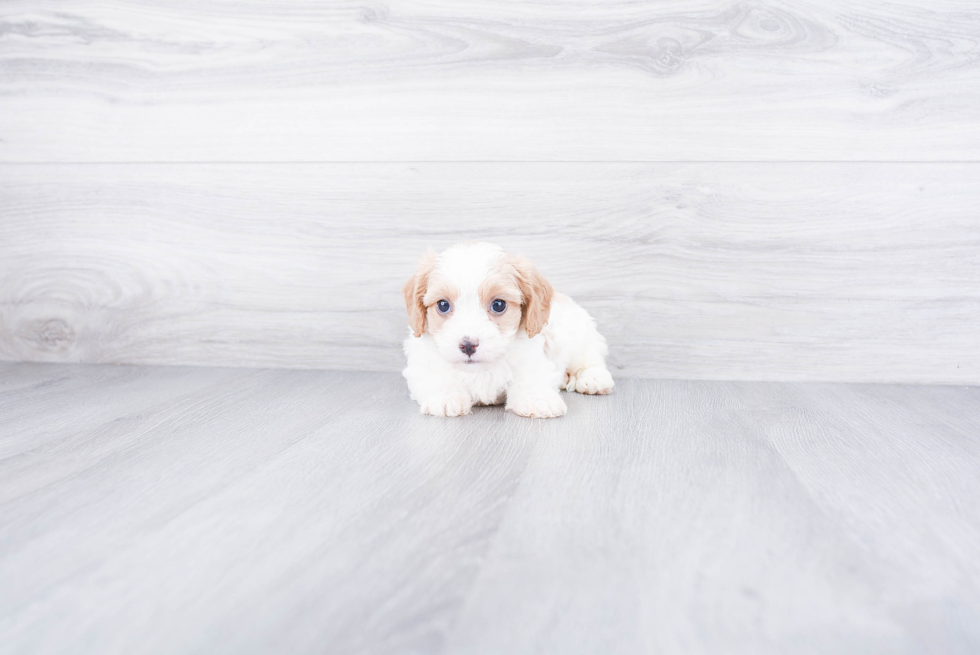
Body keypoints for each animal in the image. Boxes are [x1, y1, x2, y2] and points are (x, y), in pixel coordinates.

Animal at [398, 242, 612, 420]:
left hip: (580, 334)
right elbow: (436, 374)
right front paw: (446, 397)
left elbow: (531, 376)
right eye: (443, 305)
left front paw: (538, 399)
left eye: (498, 305)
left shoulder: (533, 355)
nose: (468, 345)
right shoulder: (423, 361)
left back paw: (594, 379)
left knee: (589, 358)